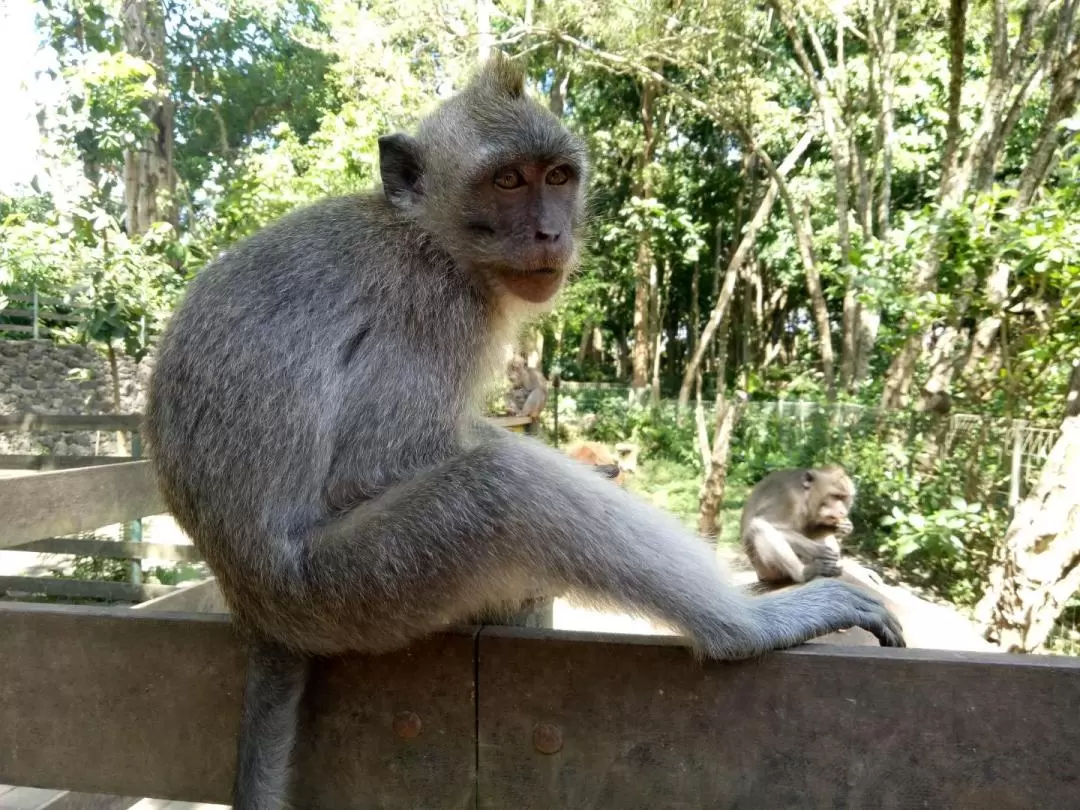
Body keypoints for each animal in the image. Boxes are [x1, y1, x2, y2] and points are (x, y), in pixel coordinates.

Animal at [143, 55, 902, 810]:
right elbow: (376, 466)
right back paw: (741, 630)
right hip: (352, 588)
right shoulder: (438, 309)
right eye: (507, 181)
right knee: (502, 489)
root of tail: (253, 608)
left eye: (557, 177)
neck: (429, 237)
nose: (549, 234)